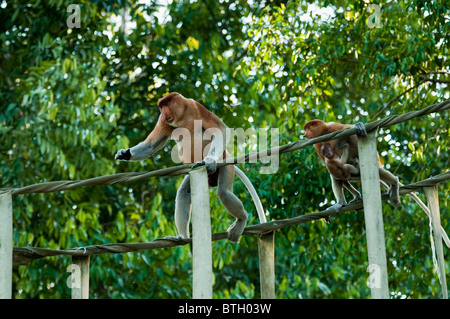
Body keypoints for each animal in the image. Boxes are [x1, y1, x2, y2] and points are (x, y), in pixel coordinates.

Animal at [115, 92, 264, 242]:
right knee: (184, 192)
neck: (182, 117)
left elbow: (220, 129)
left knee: (223, 192)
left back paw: (242, 218)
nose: (162, 114)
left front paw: (209, 160)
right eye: (161, 107)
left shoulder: (195, 106)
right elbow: (150, 146)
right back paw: (182, 237)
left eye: (165, 105)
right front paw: (124, 154)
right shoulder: (164, 123)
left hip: (226, 166)